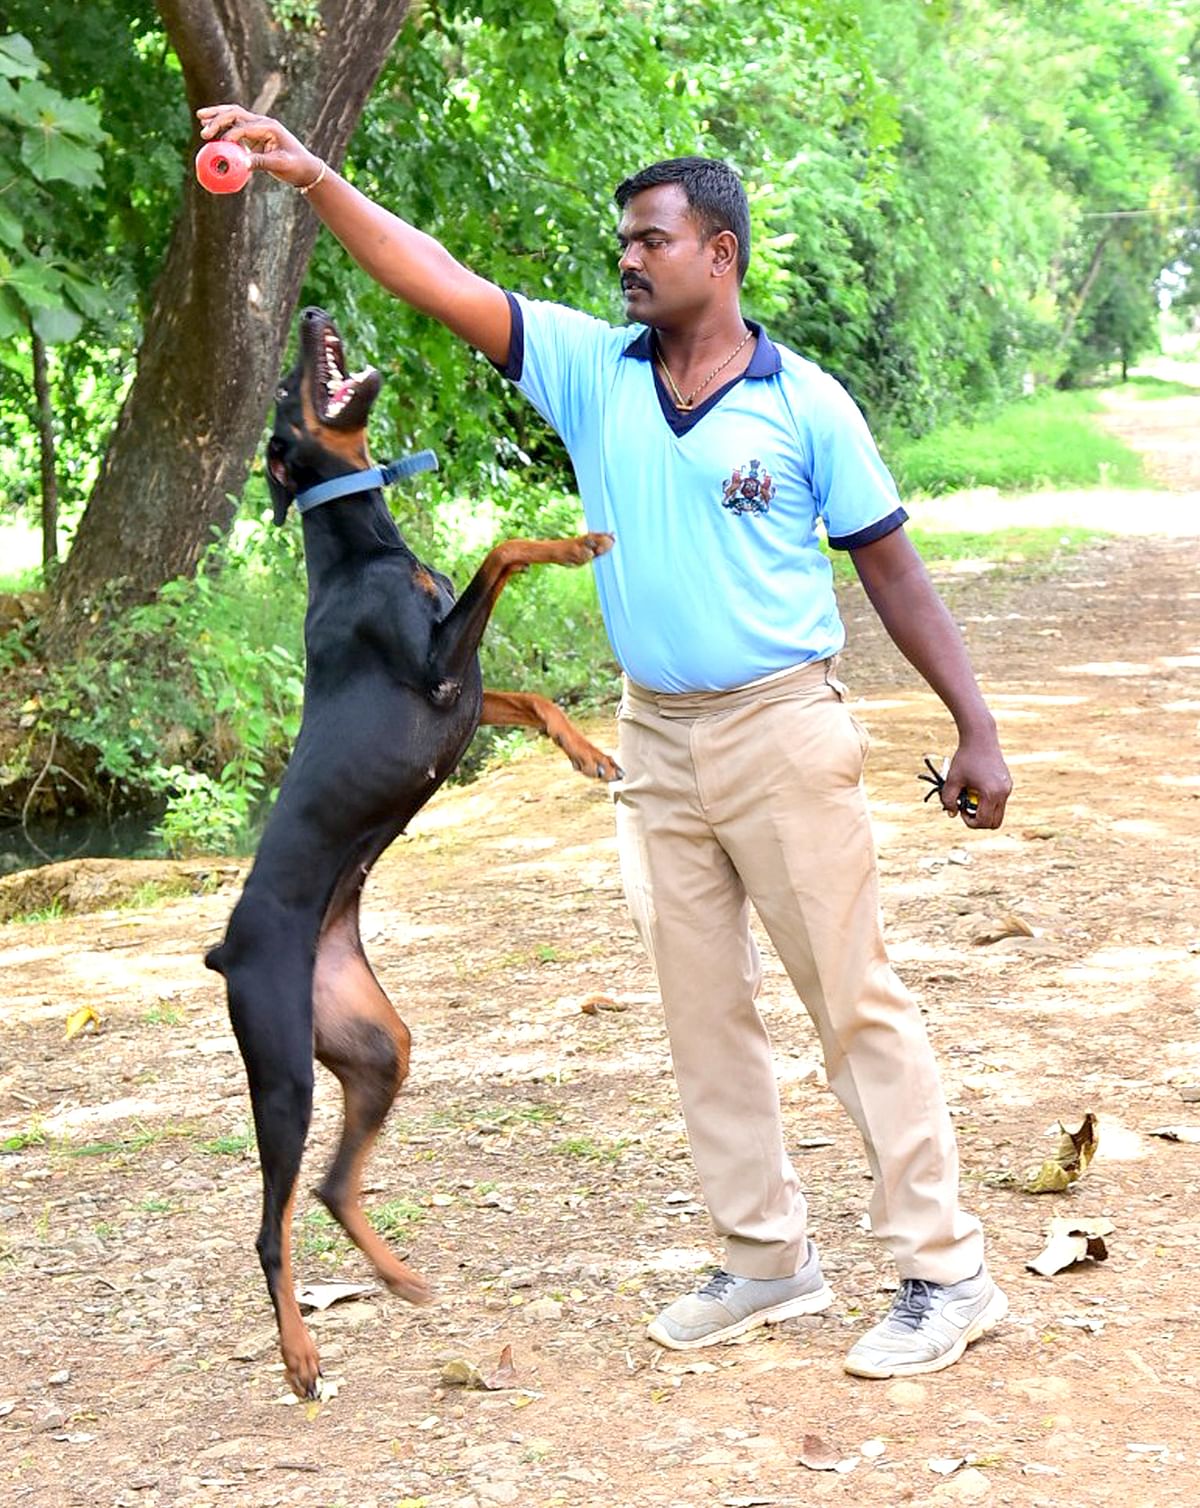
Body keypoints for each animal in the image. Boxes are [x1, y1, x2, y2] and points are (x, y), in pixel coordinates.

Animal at [205, 309, 615, 1399]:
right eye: (288, 388)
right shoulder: (435, 667)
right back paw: (299, 1353)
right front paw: (581, 538)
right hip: (283, 1076)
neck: (362, 552)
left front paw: (590, 750)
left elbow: (528, 696)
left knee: (336, 1186)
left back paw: (395, 1275)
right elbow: (506, 548)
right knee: (271, 1225)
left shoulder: (458, 690)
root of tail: (226, 951)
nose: (311, 312)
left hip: (375, 1045)